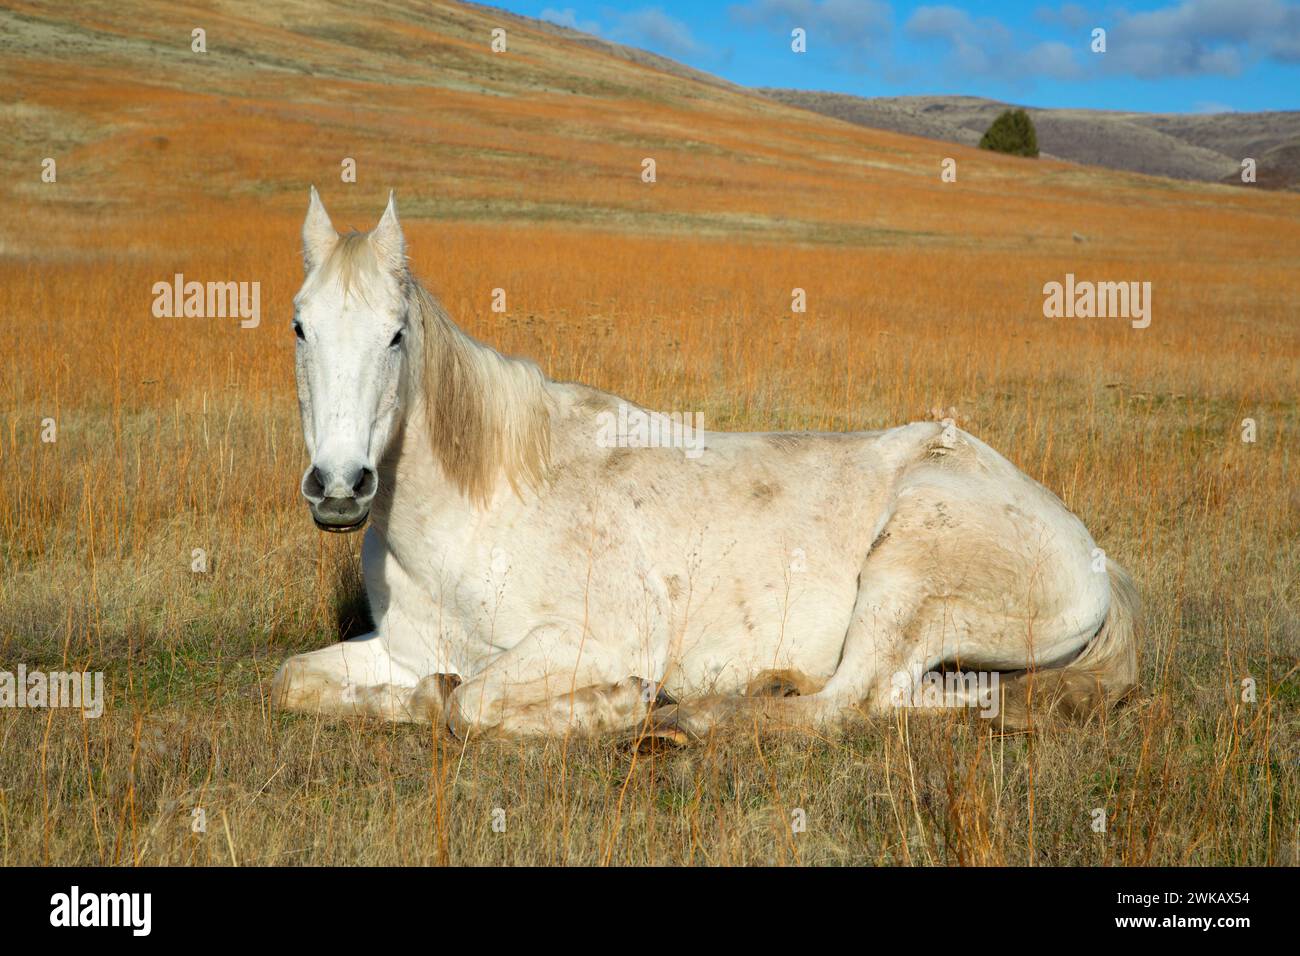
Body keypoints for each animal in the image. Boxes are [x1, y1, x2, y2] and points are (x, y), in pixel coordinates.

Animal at [271, 188, 1138, 738]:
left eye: (395, 334)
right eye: (299, 326)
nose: (341, 486)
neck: (484, 512)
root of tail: (1092, 552)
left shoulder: (593, 640)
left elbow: (472, 706)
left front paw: (620, 705)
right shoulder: (406, 651)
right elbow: (301, 683)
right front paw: (413, 699)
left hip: (908, 575)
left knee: (844, 704)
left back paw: (689, 718)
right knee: (927, 697)